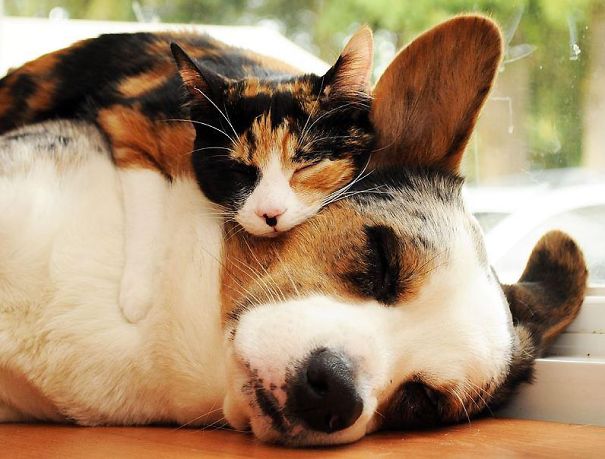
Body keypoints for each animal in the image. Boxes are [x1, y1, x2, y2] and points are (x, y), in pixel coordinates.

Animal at [0, 28, 375, 322]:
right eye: (236, 169)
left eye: (307, 163)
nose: (270, 214)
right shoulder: (124, 116)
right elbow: (147, 198)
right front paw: (137, 295)